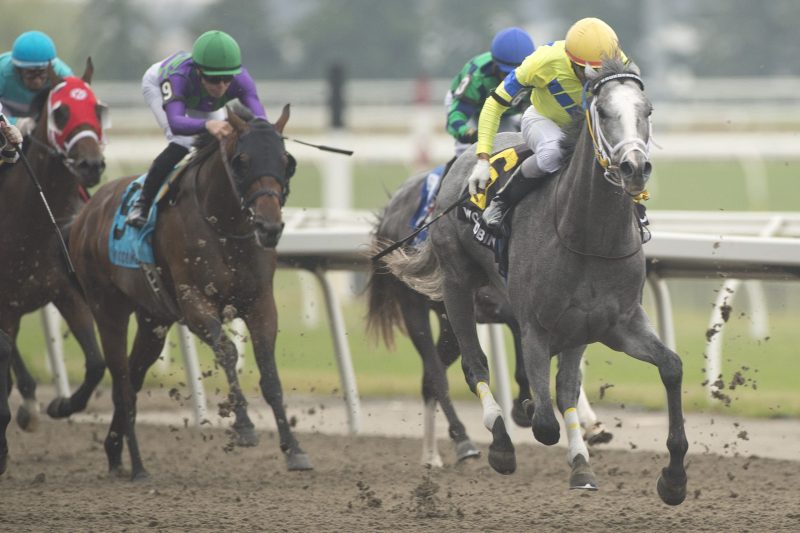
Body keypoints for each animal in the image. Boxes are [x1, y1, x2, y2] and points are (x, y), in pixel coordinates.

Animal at [0, 57, 106, 448]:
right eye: (61, 113)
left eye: (98, 109)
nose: (91, 164)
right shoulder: (5, 305)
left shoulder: (66, 290)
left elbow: (96, 362)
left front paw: (61, 405)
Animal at [69, 103, 310, 478]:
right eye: (242, 160)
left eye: (286, 161)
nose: (269, 227)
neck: (224, 226)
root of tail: (85, 214)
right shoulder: (195, 302)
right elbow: (227, 351)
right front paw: (243, 426)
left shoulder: (260, 302)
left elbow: (269, 371)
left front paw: (293, 449)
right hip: (106, 308)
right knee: (121, 383)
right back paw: (137, 466)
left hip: (152, 319)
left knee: (133, 378)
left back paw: (115, 450)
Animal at [368, 171, 612, 466]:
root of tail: (392, 207)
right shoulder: (511, 305)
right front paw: (524, 407)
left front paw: (590, 425)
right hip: (414, 306)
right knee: (436, 374)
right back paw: (463, 441)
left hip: (449, 325)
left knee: (428, 380)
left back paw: (431, 456)